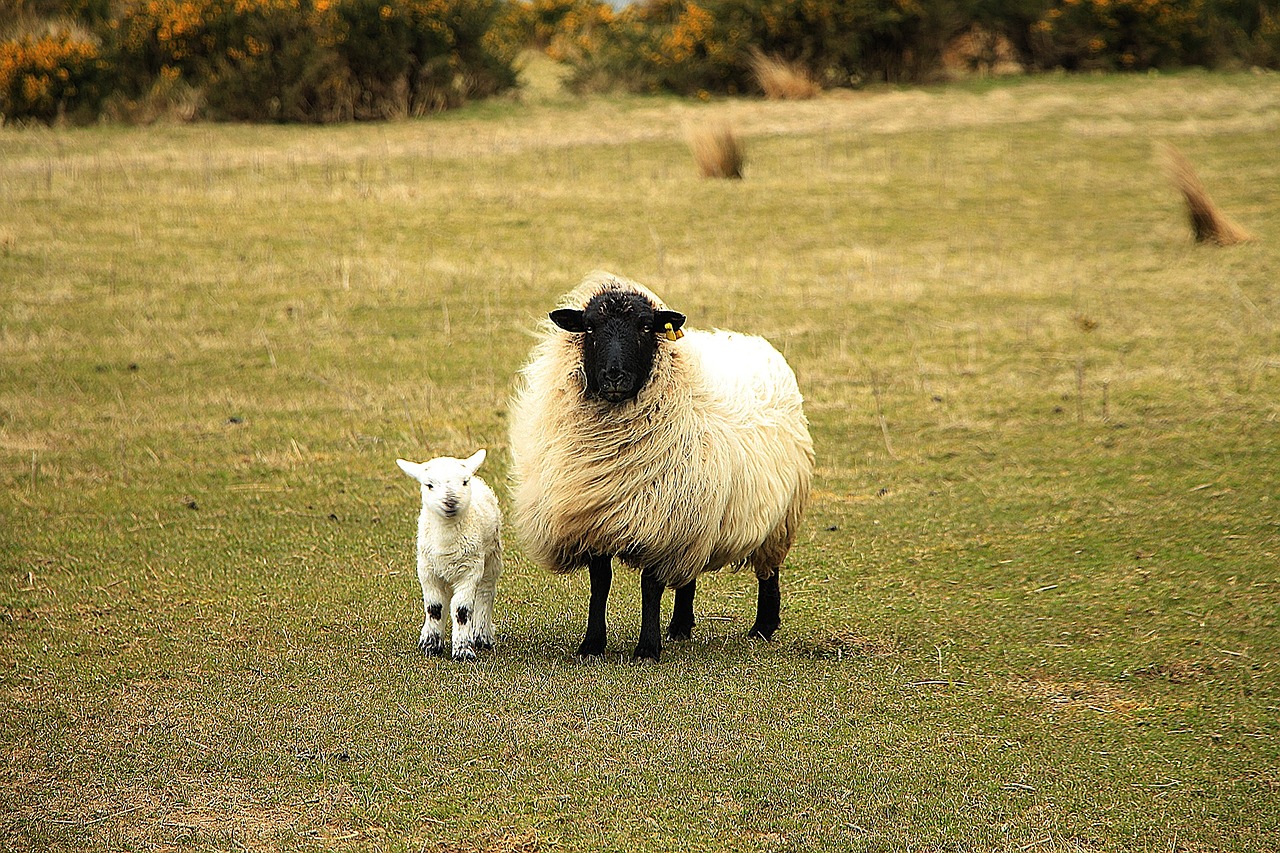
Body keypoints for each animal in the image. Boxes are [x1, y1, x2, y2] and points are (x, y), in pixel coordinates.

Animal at [396, 448, 501, 660]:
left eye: (464, 481)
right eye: (429, 485)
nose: (450, 502)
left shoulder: (470, 570)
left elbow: (462, 610)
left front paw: (463, 650)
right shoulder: (427, 571)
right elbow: (435, 607)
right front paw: (431, 645)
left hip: (491, 557)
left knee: (485, 593)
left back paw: (482, 635)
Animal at [506, 268, 814, 660]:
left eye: (645, 327)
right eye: (589, 327)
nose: (614, 375)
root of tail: (752, 341)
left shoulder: (658, 523)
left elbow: (649, 586)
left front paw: (647, 648)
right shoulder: (598, 519)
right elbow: (600, 585)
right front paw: (592, 644)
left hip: (776, 516)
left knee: (768, 571)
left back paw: (763, 627)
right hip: (696, 514)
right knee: (687, 574)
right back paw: (680, 626)